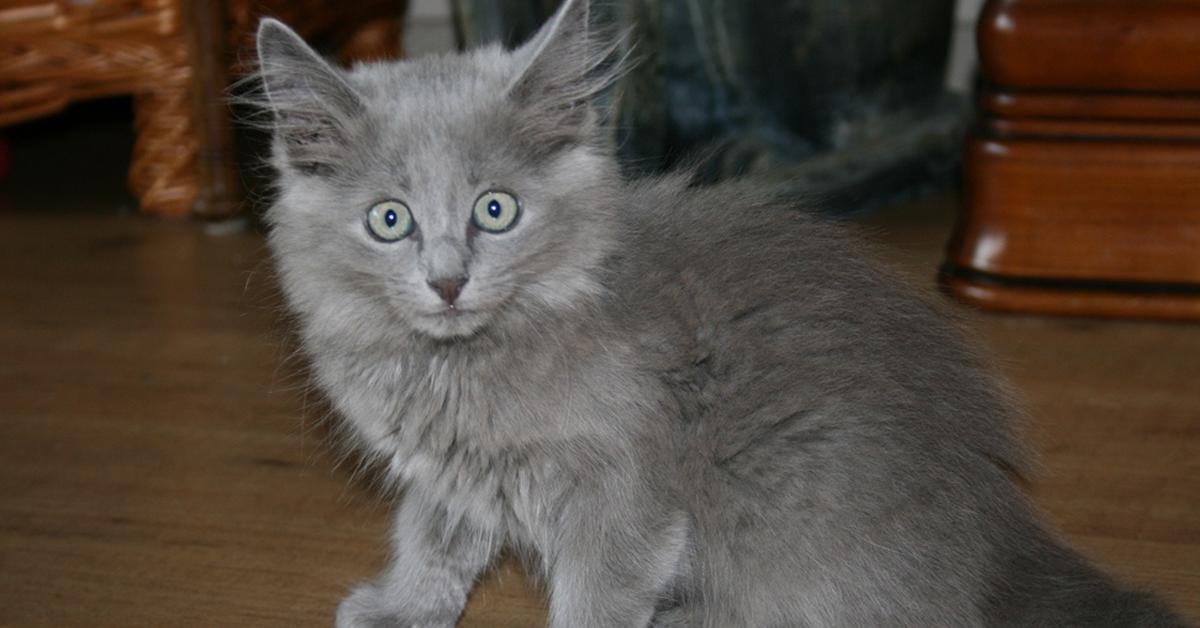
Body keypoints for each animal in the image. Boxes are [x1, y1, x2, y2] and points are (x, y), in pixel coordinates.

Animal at [250, 2, 1180, 624]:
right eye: (389, 220)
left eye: (496, 211)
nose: (447, 282)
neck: (463, 361)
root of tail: (996, 537)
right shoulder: (454, 470)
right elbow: (434, 534)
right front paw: (403, 608)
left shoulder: (621, 489)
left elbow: (595, 596)